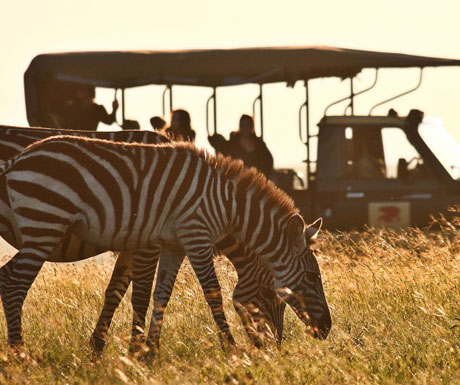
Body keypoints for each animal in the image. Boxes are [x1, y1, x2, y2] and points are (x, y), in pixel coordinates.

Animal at [0, 136, 330, 348]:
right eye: (312, 276)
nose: (326, 329)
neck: (228, 206)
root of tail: (17, 160)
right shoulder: (196, 237)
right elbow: (212, 294)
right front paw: (232, 350)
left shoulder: (174, 245)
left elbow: (161, 295)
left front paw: (149, 355)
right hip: (45, 225)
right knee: (14, 282)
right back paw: (21, 354)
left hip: (42, 228)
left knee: (7, 277)